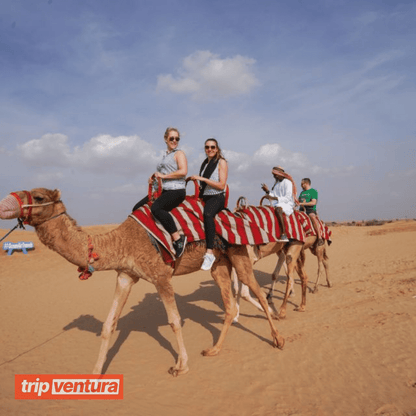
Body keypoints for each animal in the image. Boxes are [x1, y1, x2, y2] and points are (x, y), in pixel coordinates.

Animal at [0, 188, 284, 376]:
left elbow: (174, 321)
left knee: (256, 291)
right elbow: (108, 324)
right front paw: (95, 373)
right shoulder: (126, 276)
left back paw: (278, 338)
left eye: (38, 197)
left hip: (239, 252)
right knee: (229, 304)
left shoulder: (161, 276)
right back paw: (213, 350)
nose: (4, 204)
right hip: (218, 263)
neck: (120, 242)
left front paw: (181, 365)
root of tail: (234, 214)